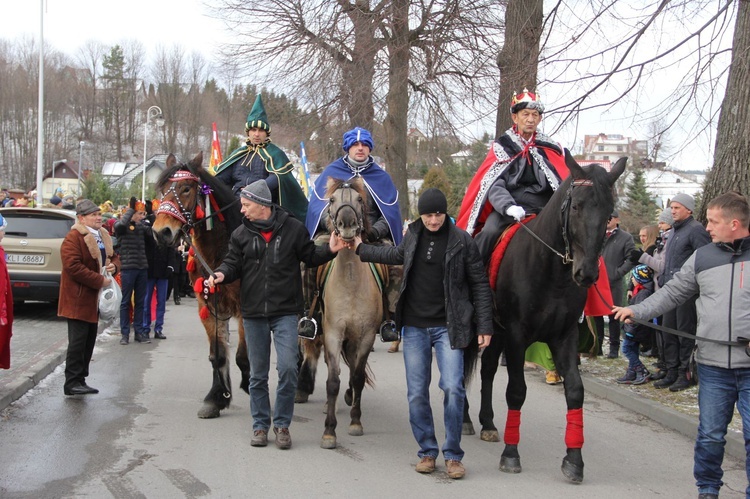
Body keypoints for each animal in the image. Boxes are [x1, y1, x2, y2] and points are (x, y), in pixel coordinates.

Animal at [152, 151, 250, 418]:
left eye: (186, 188)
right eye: (161, 189)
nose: (161, 232)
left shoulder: (246, 307)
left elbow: (243, 356)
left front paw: (249, 384)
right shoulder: (208, 304)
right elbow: (218, 356)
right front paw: (217, 398)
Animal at [296, 179, 384, 450]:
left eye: (359, 199)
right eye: (332, 200)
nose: (346, 225)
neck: (351, 283)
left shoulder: (365, 336)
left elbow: (357, 377)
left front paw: (355, 422)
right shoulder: (333, 334)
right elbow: (332, 381)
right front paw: (329, 432)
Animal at [464, 153, 628, 484]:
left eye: (609, 213)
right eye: (576, 206)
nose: (587, 274)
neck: (552, 272)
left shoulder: (563, 337)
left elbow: (575, 391)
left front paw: (574, 460)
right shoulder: (517, 335)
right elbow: (516, 391)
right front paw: (511, 454)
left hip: (496, 332)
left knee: (487, 370)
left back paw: (487, 423)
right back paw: (464, 419)